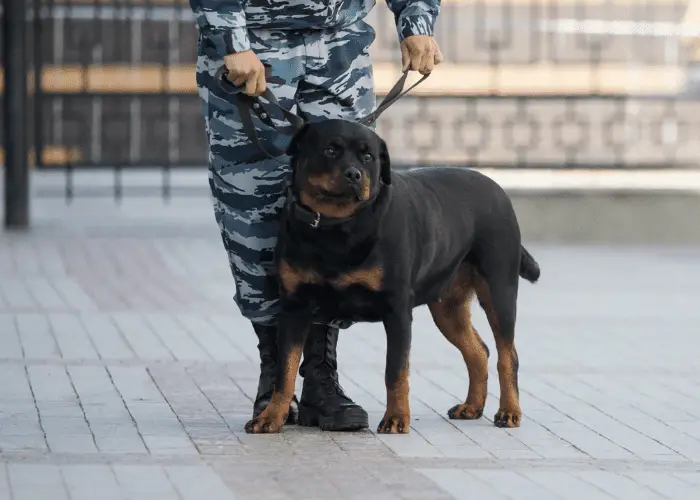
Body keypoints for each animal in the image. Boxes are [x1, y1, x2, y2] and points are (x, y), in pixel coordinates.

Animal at [245, 119, 540, 436]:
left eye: (368, 156)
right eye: (331, 150)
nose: (354, 174)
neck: (336, 226)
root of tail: (499, 189)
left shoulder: (396, 309)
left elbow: (395, 371)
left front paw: (397, 418)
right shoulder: (294, 307)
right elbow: (285, 371)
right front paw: (271, 416)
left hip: (499, 290)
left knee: (507, 355)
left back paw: (509, 411)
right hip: (448, 308)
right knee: (478, 351)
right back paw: (472, 406)